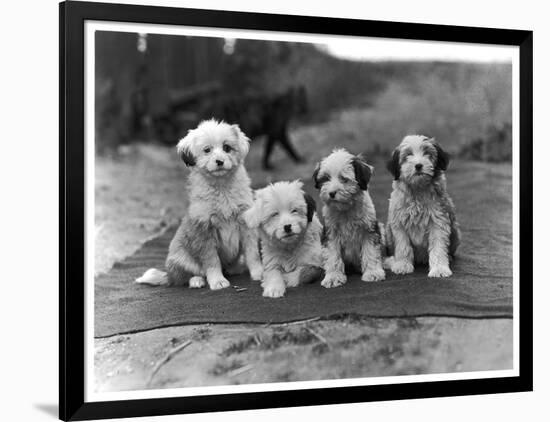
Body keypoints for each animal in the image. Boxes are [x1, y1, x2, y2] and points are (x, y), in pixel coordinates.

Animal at [137, 119, 264, 290]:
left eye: (227, 148)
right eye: (207, 150)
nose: (219, 161)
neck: (221, 187)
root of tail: (168, 274)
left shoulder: (246, 224)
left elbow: (252, 253)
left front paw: (259, 273)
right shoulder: (204, 230)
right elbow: (211, 260)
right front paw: (217, 281)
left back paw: (235, 268)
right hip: (181, 258)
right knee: (184, 277)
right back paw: (196, 281)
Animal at [314, 148, 388, 286]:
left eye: (344, 179)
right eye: (326, 178)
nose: (331, 193)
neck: (346, 210)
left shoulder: (369, 230)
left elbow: (371, 252)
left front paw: (373, 273)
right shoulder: (331, 234)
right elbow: (333, 256)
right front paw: (333, 277)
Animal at [386, 135, 464, 278]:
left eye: (427, 153)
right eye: (408, 155)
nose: (418, 165)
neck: (418, 189)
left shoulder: (438, 222)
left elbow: (438, 247)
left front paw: (439, 269)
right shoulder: (398, 224)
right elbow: (403, 246)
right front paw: (402, 265)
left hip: (455, 232)